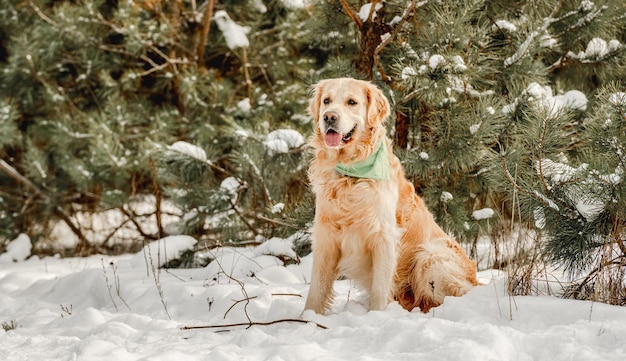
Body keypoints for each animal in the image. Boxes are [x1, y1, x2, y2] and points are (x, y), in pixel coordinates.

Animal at [304, 78, 478, 312]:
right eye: (326, 101)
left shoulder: (383, 237)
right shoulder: (326, 236)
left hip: (430, 255)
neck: (350, 173)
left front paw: (376, 315)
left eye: (352, 102)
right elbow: (317, 289)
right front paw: (307, 317)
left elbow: (379, 289)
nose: (329, 117)